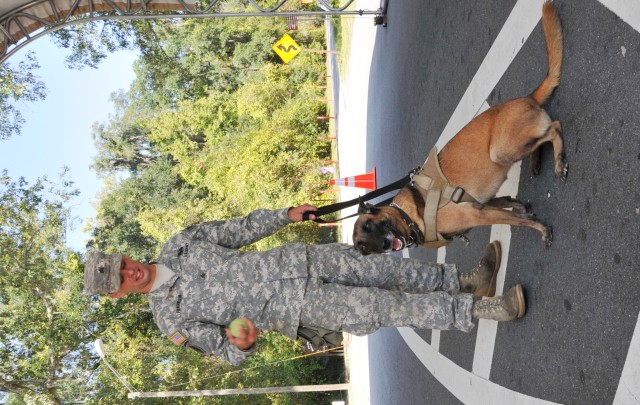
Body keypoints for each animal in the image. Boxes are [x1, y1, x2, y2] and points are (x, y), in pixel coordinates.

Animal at [350, 1, 564, 254]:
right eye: (363, 248)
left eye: (370, 225)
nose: (383, 245)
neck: (411, 216)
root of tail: (528, 97)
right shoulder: (479, 205)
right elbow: (506, 206)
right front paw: (520, 207)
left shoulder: (475, 214)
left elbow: (516, 221)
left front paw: (540, 228)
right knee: (542, 137)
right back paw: (536, 161)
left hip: (501, 151)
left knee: (555, 128)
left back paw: (559, 163)